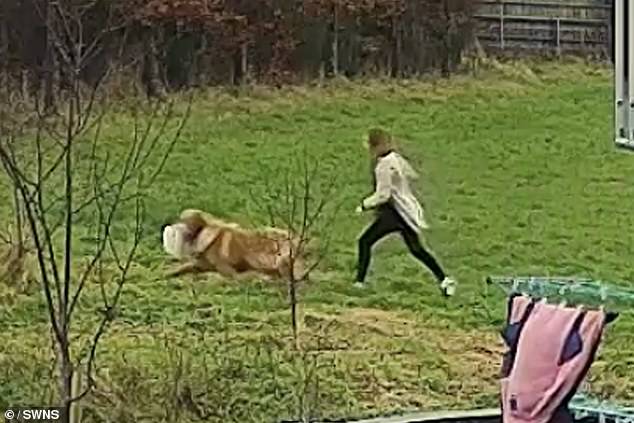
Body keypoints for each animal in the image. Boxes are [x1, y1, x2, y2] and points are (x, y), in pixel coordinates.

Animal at [159, 210, 304, 282]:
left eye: (181, 220)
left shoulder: (226, 270)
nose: (168, 224)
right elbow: (182, 267)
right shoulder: (199, 264)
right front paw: (166, 272)